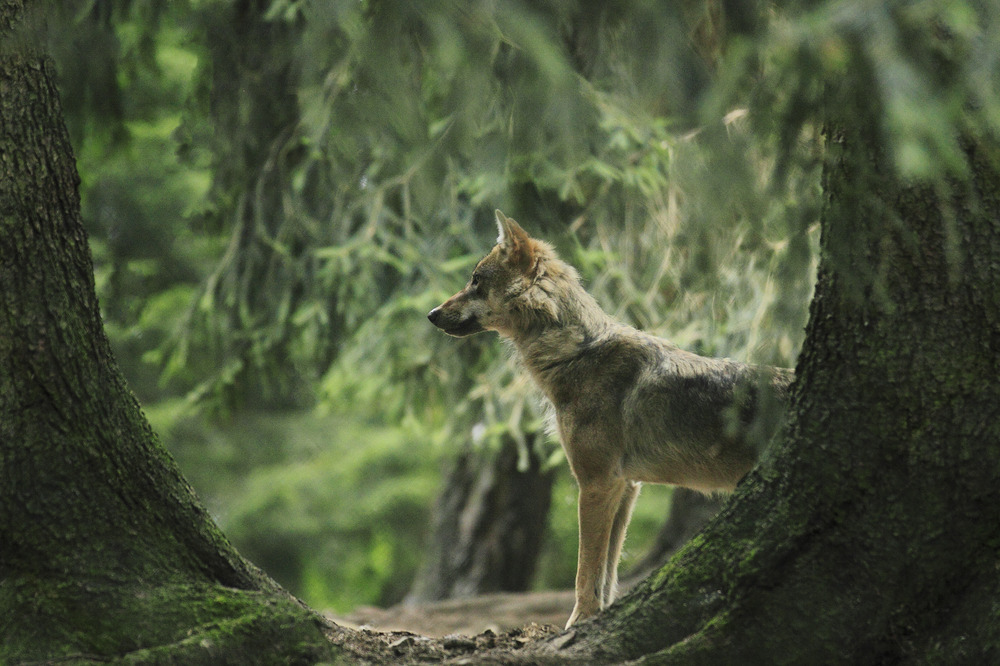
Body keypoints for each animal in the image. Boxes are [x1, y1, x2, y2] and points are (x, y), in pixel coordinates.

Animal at [426, 210, 792, 624]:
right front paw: (598, 618)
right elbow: (608, 574)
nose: (431, 315)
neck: (576, 352)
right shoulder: (626, 486)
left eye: (475, 280)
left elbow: (586, 571)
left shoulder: (596, 483)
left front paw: (577, 624)